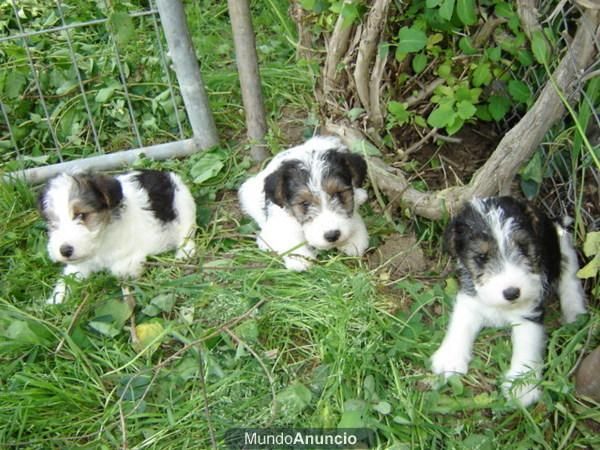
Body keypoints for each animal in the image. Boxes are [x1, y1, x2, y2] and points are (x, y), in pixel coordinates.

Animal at [38, 170, 197, 306]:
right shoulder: (81, 262)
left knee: (187, 231)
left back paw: (184, 253)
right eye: (53, 222)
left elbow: (121, 268)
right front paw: (57, 298)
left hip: (183, 206)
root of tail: (167, 175)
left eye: (81, 215)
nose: (64, 251)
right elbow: (69, 276)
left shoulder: (132, 254)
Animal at [237, 135, 368, 270]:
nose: (332, 235)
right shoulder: (282, 221)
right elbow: (287, 237)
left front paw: (353, 240)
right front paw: (300, 259)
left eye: (338, 194)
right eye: (305, 203)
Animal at [432, 195, 584, 406]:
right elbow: (460, 324)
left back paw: (575, 313)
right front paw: (450, 358)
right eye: (481, 256)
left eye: (523, 247)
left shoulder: (528, 313)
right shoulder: (470, 298)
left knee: (570, 278)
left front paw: (522, 386)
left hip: (564, 249)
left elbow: (527, 344)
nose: (512, 293)